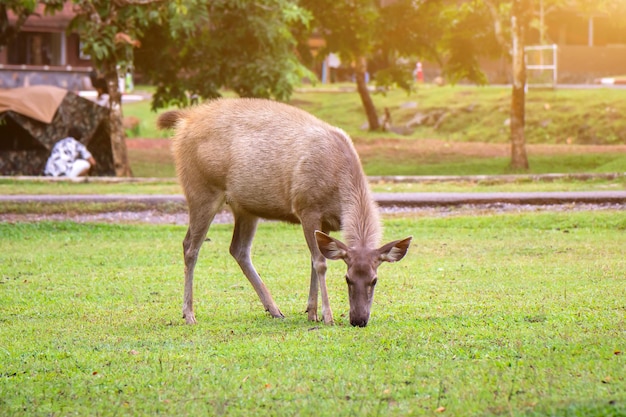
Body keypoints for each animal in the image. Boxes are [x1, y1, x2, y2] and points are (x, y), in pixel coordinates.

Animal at [155, 97, 410, 324]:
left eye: (374, 280)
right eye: (347, 278)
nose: (359, 319)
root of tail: (185, 120)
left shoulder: (323, 222)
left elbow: (313, 260)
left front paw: (311, 313)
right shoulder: (307, 206)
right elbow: (320, 262)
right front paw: (327, 316)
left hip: (245, 207)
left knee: (237, 249)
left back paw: (275, 310)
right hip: (201, 188)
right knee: (191, 247)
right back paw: (189, 314)